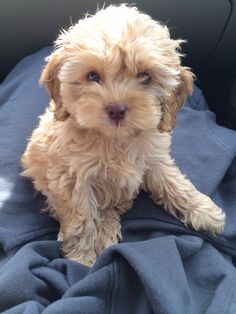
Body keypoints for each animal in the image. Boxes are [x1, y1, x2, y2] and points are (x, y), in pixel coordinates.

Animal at [21, 4, 225, 264]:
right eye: (92, 76)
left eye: (145, 76)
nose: (117, 109)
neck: (115, 140)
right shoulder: (72, 178)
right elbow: (82, 216)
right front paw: (83, 255)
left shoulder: (154, 158)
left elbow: (173, 182)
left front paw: (202, 209)